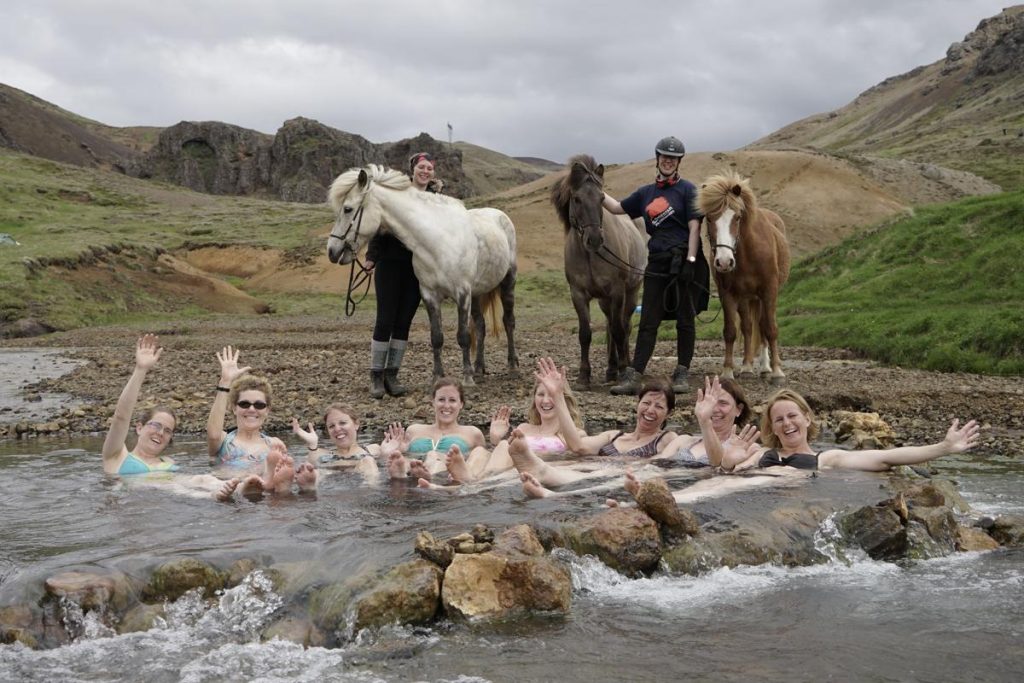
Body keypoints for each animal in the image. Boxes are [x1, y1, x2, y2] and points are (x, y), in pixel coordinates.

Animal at [327, 162, 520, 382]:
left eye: (348, 209)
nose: (331, 250)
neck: (438, 241)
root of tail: (499, 215)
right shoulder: (429, 295)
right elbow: (436, 337)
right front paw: (438, 376)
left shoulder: (462, 293)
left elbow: (463, 336)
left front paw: (466, 378)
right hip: (478, 293)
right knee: (480, 326)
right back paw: (479, 368)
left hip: (507, 282)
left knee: (508, 321)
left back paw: (512, 366)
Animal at [552, 156, 647, 387]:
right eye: (576, 199)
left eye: (602, 198)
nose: (594, 239)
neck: (589, 255)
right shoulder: (578, 294)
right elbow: (585, 334)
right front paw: (584, 375)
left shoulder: (617, 292)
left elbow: (619, 331)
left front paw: (623, 370)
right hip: (605, 301)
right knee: (610, 326)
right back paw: (611, 368)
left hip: (630, 293)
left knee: (624, 325)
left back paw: (625, 365)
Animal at [696, 172, 790, 385]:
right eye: (709, 218)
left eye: (737, 217)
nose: (724, 262)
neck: (748, 253)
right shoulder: (728, 294)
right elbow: (731, 331)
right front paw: (728, 371)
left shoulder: (769, 291)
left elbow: (770, 329)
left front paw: (777, 372)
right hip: (746, 299)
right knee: (748, 327)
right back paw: (747, 367)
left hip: (760, 298)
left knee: (762, 327)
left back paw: (765, 367)